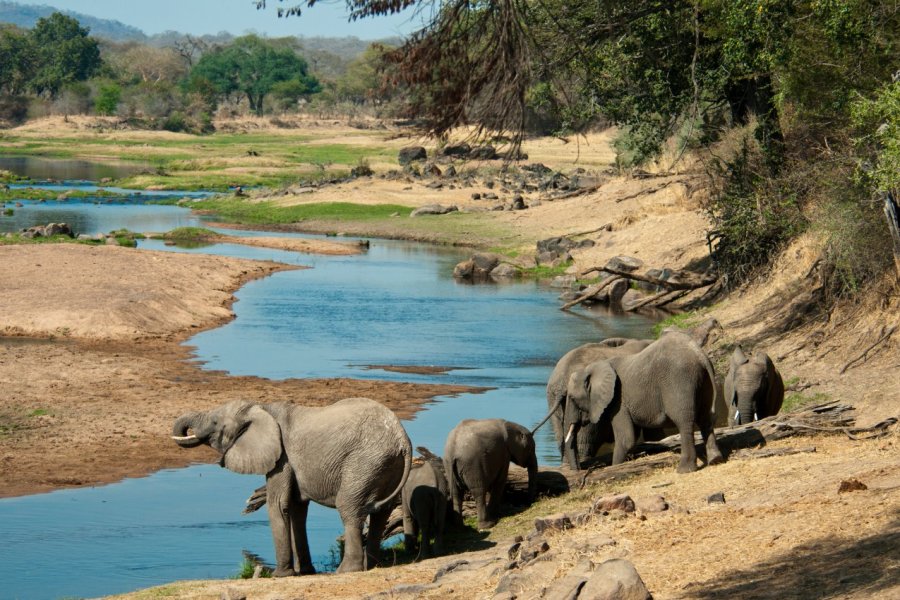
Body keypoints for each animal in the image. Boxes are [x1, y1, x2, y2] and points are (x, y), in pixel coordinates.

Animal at [171, 396, 412, 576]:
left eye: (214, 423)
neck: (261, 408)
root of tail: (402, 440)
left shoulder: (282, 457)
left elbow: (279, 504)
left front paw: (280, 575)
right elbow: (297, 509)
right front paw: (304, 572)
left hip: (364, 462)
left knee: (349, 508)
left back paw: (346, 571)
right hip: (385, 466)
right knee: (381, 514)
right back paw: (372, 566)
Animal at [568, 328, 728, 474]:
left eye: (572, 398)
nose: (580, 471)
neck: (593, 367)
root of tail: (699, 355)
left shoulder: (618, 401)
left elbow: (626, 439)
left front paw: (615, 467)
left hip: (679, 380)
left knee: (684, 421)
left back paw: (684, 470)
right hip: (705, 381)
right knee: (706, 418)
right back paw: (716, 460)